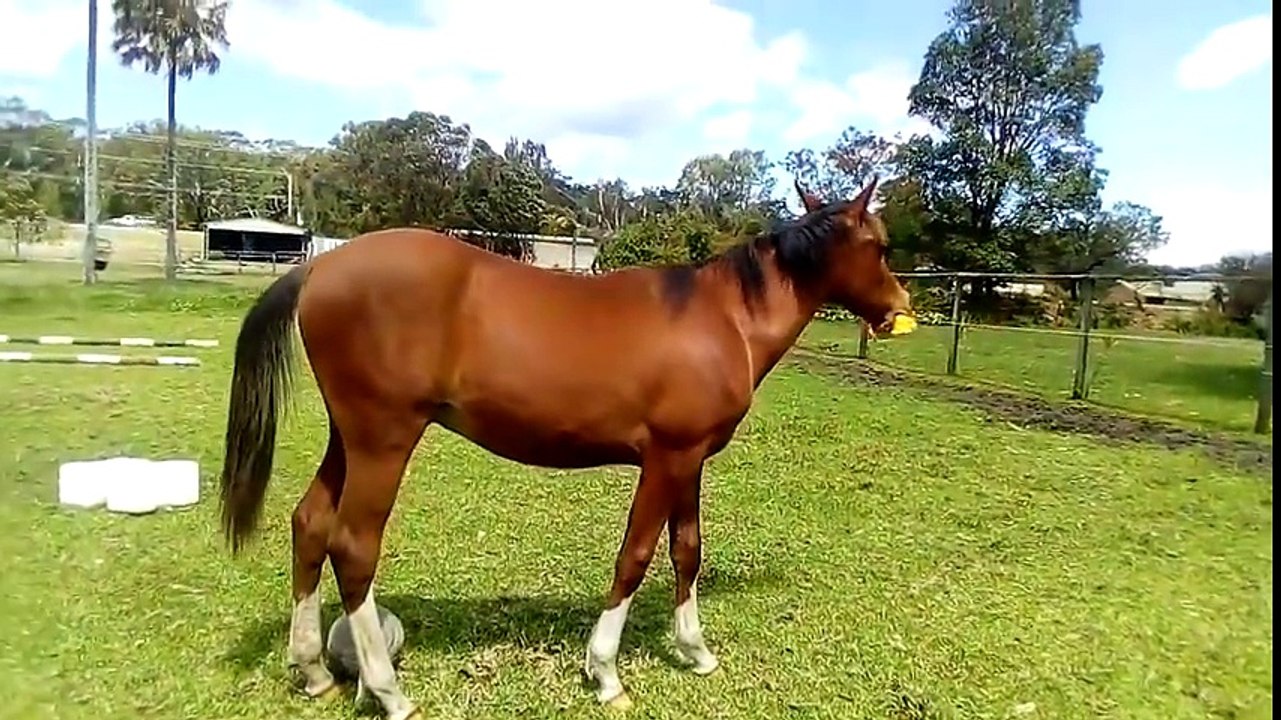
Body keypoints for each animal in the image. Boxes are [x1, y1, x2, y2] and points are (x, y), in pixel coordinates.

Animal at [217, 178, 913, 720]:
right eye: (879, 246)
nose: (900, 307)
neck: (723, 320)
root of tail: (320, 266)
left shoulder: (690, 461)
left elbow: (686, 553)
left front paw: (695, 652)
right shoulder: (665, 460)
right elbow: (635, 557)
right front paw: (605, 673)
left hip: (350, 438)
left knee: (310, 523)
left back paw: (313, 671)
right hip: (384, 440)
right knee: (353, 547)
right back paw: (388, 692)